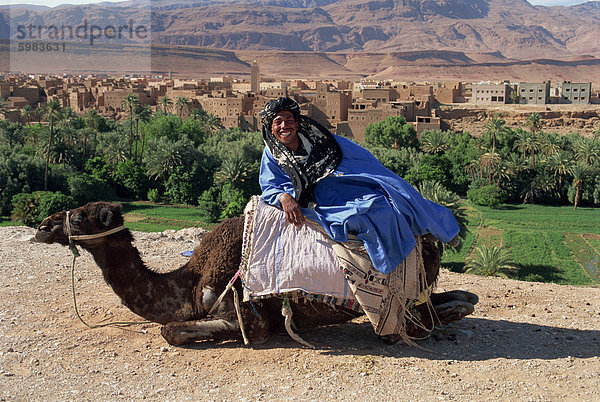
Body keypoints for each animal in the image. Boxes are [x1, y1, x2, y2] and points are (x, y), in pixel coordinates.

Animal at [36, 203, 478, 348]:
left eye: (80, 215)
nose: (43, 225)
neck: (189, 285)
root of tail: (430, 242)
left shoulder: (244, 316)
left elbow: (171, 330)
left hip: (400, 302)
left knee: (415, 321)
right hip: (419, 292)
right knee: (459, 299)